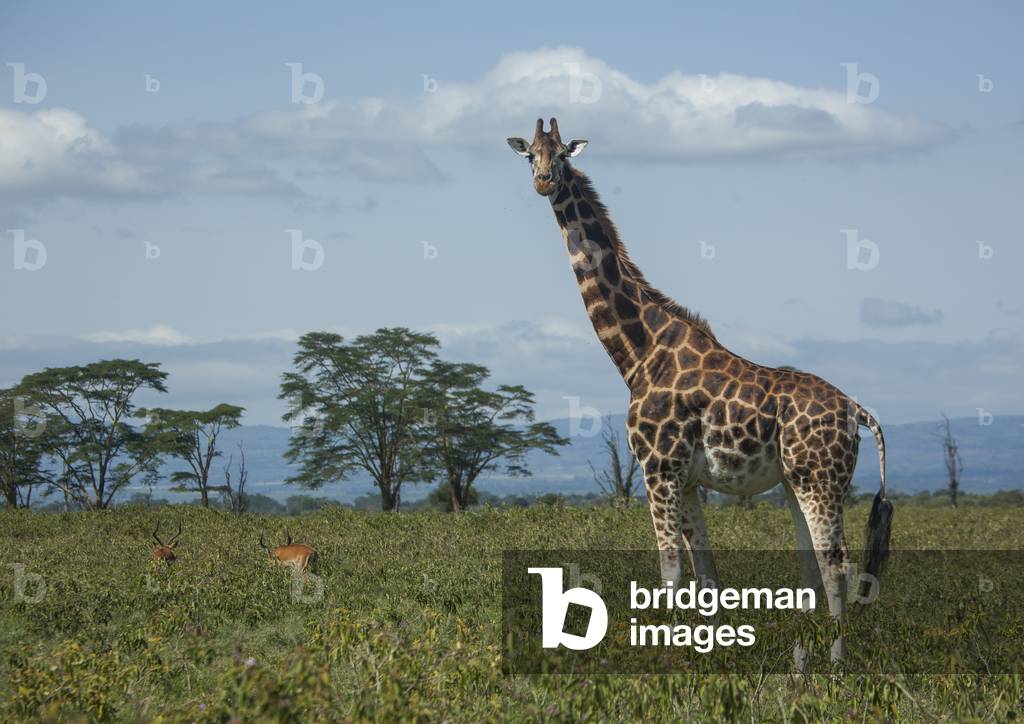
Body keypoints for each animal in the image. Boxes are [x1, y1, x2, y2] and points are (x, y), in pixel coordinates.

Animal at [507, 118, 894, 664]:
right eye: (530, 156)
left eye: (561, 154)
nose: (544, 180)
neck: (638, 354)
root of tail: (857, 410)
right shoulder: (687, 479)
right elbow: (706, 575)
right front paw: (711, 658)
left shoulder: (658, 468)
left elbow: (669, 571)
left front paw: (667, 660)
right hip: (797, 482)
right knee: (812, 570)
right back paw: (802, 667)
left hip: (820, 478)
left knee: (837, 565)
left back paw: (836, 668)